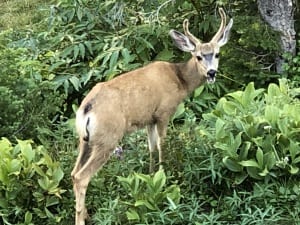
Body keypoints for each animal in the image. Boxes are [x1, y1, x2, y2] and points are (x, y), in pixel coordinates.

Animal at [71, 8, 233, 225]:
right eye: (198, 56)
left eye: (217, 53)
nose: (212, 73)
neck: (179, 80)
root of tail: (87, 109)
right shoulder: (164, 112)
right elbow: (162, 144)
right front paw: (165, 176)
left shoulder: (149, 119)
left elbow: (151, 147)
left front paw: (150, 176)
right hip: (108, 137)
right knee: (82, 177)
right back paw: (81, 218)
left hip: (84, 139)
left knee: (73, 173)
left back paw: (85, 212)